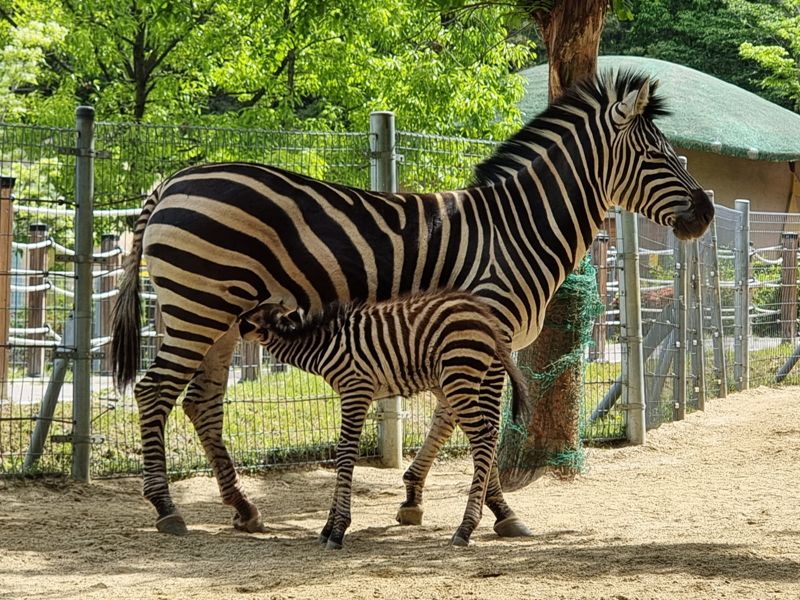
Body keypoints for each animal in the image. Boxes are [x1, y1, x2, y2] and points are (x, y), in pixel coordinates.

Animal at [236, 290, 532, 548]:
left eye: (252, 316)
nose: (236, 325)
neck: (321, 346)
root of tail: (484, 315)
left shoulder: (356, 389)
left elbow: (345, 453)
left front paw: (338, 529)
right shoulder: (353, 393)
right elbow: (342, 454)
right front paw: (328, 527)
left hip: (458, 374)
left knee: (484, 436)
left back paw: (465, 528)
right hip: (453, 381)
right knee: (485, 434)